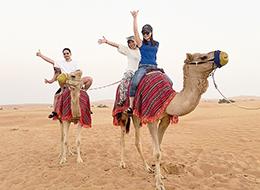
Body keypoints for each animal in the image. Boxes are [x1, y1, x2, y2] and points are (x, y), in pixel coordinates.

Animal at [111, 49, 228, 189]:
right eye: (203, 57)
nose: (224, 55)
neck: (169, 100)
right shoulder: (152, 118)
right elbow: (156, 152)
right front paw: (159, 184)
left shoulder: (165, 119)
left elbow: (159, 148)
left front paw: (160, 176)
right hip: (124, 115)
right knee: (126, 138)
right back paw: (124, 164)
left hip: (135, 116)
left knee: (135, 140)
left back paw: (147, 167)